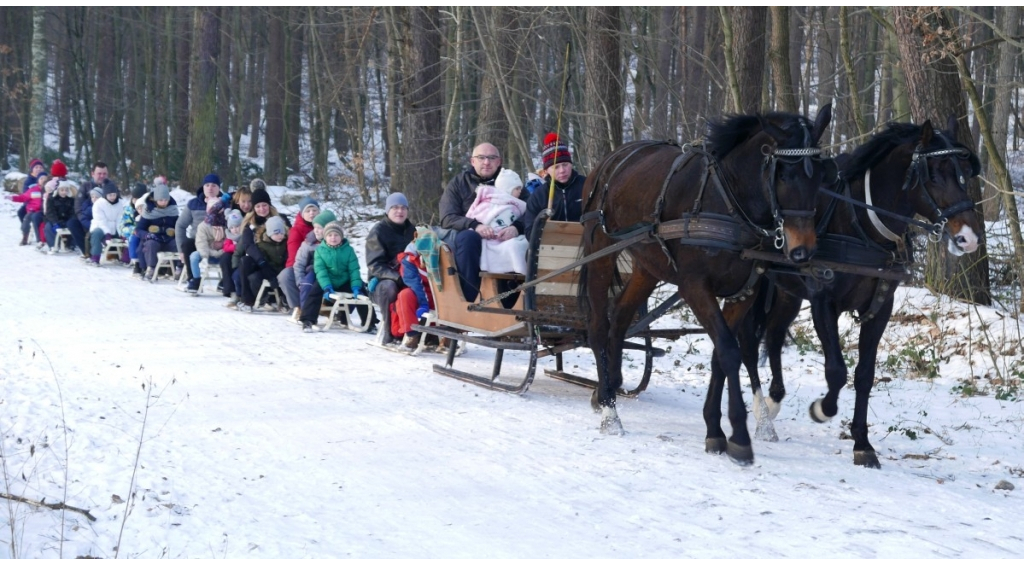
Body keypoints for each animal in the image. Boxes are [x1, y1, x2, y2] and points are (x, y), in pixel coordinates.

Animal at [581, 103, 835, 464]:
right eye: (784, 175)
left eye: (821, 176)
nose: (803, 250)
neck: (728, 202)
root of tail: (612, 158)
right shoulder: (695, 287)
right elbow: (729, 350)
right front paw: (739, 436)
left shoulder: (744, 292)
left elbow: (720, 355)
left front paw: (715, 430)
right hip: (600, 251)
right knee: (598, 327)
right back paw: (608, 410)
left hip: (648, 267)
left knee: (619, 319)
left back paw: (610, 385)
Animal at [733, 118, 978, 468]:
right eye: (933, 174)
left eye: (963, 173)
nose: (969, 238)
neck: (861, 224)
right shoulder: (823, 302)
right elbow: (836, 370)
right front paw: (823, 409)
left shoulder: (880, 308)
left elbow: (864, 375)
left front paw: (863, 444)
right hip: (756, 284)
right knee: (750, 344)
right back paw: (763, 416)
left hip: (788, 293)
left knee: (775, 336)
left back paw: (775, 399)